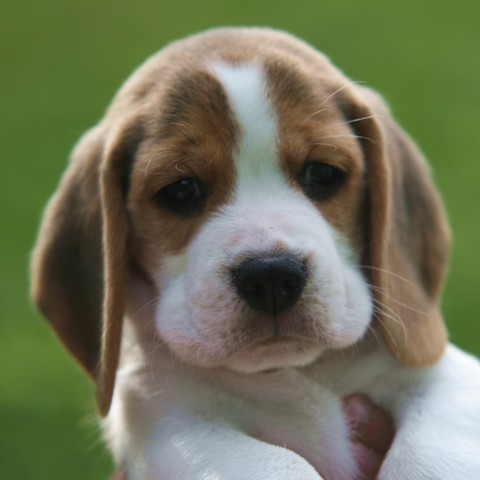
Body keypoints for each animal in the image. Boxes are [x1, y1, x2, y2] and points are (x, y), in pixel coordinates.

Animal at [31, 27, 480, 480]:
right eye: (181, 190)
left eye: (321, 173)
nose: (271, 277)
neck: (290, 370)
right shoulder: (172, 421)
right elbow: (277, 463)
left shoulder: (445, 378)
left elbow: (426, 455)